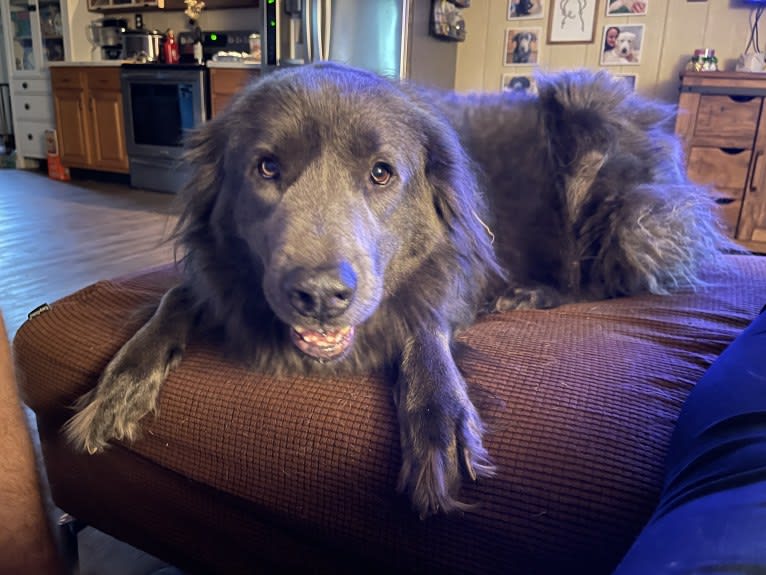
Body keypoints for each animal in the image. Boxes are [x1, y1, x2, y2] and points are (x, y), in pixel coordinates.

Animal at [64, 65, 732, 520]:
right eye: (267, 168)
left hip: (599, 151)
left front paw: (437, 417)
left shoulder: (452, 278)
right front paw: (120, 386)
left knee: (601, 277)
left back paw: (531, 294)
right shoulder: (213, 278)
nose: (320, 295)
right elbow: (173, 300)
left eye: (382, 174)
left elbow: (424, 326)